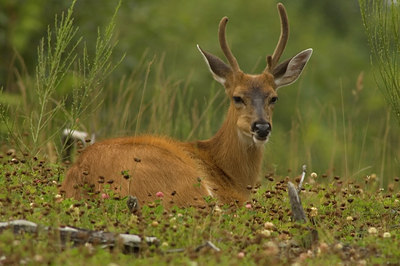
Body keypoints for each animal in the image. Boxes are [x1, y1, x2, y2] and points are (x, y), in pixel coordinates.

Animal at [61, 3, 312, 209]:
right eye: (237, 97)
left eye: (273, 98)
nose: (261, 127)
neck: (230, 174)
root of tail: (84, 178)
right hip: (185, 186)